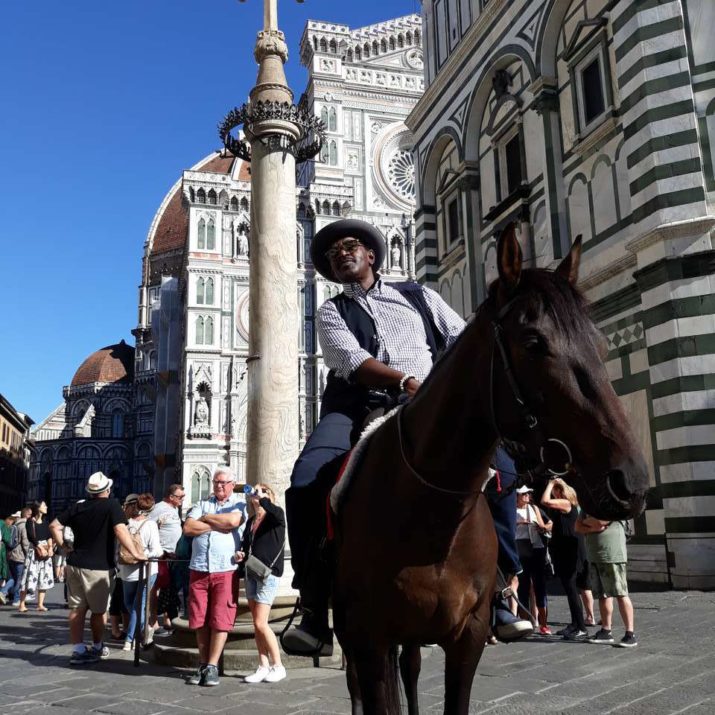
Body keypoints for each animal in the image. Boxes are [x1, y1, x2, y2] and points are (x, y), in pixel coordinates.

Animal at [332, 228, 652, 715]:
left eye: (600, 344)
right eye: (533, 343)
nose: (629, 482)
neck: (430, 516)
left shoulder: (469, 637)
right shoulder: (369, 637)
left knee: (410, 669)